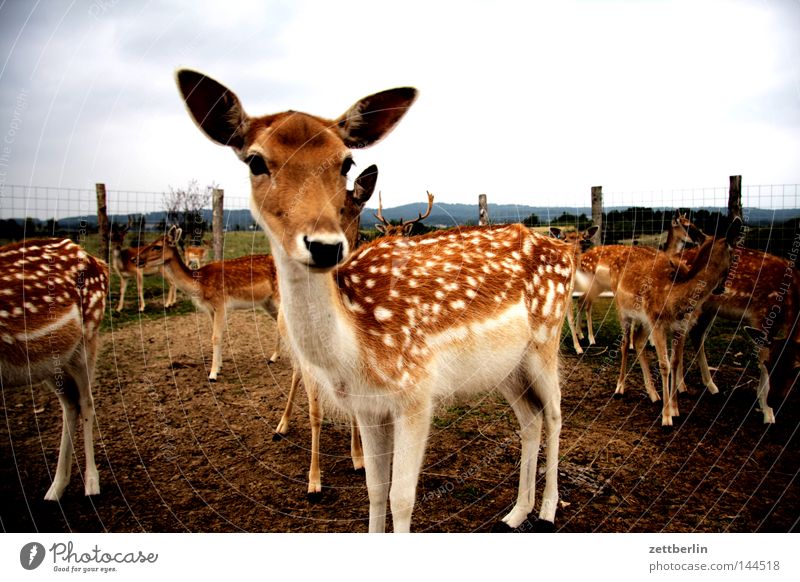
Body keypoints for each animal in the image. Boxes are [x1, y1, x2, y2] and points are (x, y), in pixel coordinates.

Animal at [0, 237, 108, 502]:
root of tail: (100, 263)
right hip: (51, 362)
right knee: (70, 403)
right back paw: (56, 487)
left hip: (85, 341)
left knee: (86, 402)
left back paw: (91, 483)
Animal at [175, 68, 576, 532]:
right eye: (256, 161)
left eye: (346, 162)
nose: (325, 245)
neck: (355, 348)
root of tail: (567, 249)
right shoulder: (368, 407)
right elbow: (374, 489)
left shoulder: (416, 391)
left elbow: (401, 498)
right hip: (506, 367)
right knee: (529, 420)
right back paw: (515, 512)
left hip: (546, 340)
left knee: (555, 414)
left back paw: (547, 509)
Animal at [612, 217, 744, 426]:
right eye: (734, 255)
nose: (721, 289)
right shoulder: (657, 322)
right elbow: (664, 365)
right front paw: (666, 418)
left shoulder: (679, 326)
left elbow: (675, 361)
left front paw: (675, 409)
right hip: (623, 311)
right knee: (625, 344)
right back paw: (620, 388)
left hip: (644, 321)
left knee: (639, 341)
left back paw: (654, 394)